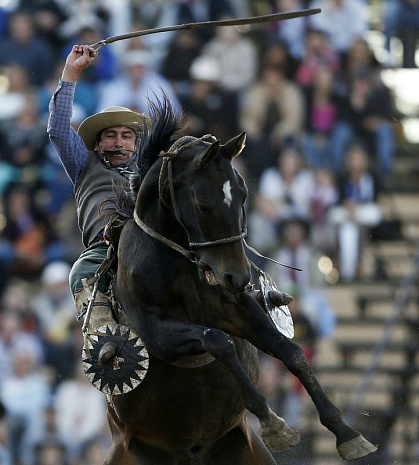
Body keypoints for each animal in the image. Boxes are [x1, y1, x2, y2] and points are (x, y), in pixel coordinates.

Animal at [101, 99, 378, 462]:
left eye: (244, 195)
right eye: (203, 205)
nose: (239, 275)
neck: (179, 264)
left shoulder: (235, 307)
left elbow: (289, 350)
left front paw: (346, 432)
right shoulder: (156, 331)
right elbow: (219, 341)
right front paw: (274, 424)